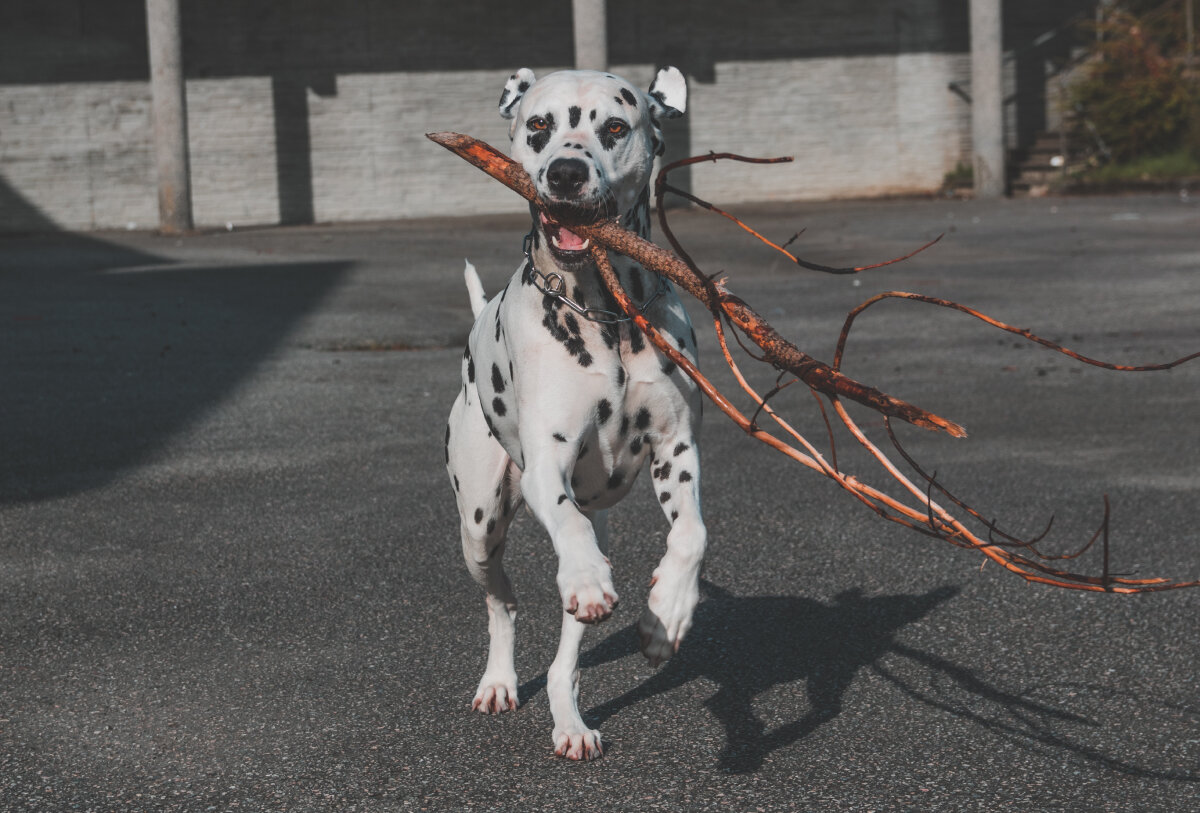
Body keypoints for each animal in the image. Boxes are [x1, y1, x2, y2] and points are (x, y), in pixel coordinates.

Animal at [444, 66, 700, 762]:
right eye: (539, 124)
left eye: (615, 126)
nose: (564, 172)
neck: (605, 315)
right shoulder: (546, 466)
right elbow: (566, 525)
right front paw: (587, 579)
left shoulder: (678, 451)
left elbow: (692, 536)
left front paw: (667, 613)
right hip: (479, 527)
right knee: (503, 605)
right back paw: (500, 681)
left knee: (566, 661)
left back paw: (570, 720)